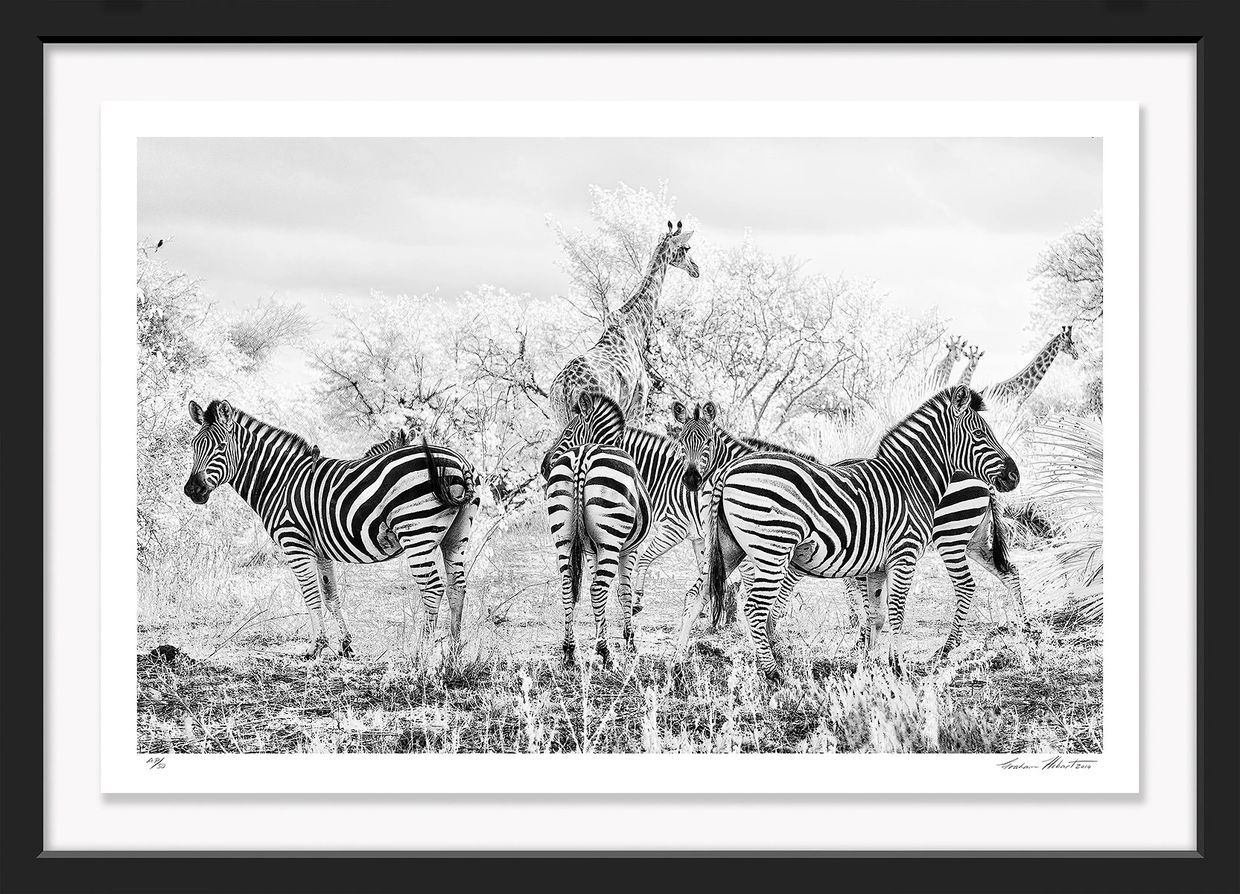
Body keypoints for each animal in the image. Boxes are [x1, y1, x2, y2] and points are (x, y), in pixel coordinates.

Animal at [183, 399, 479, 660]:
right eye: (194, 446)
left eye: (221, 447)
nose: (192, 490)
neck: (280, 481)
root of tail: (460, 462)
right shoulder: (322, 550)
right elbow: (330, 595)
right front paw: (346, 645)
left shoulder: (294, 543)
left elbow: (311, 596)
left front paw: (316, 647)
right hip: (455, 536)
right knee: (457, 586)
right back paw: (454, 652)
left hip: (416, 532)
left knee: (433, 588)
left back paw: (420, 655)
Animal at [544, 393, 652, 664]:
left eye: (567, 431)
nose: (543, 467)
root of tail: (582, 456)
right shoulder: (629, 549)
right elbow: (624, 591)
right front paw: (629, 642)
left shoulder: (592, 550)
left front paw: (597, 636)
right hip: (611, 539)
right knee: (598, 589)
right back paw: (606, 653)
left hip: (563, 535)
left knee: (567, 587)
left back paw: (569, 650)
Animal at [547, 220, 698, 430]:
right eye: (686, 248)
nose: (696, 269)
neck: (637, 328)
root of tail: (564, 388)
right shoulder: (639, 402)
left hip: (560, 420)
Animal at [676, 385, 1020, 680]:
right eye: (979, 434)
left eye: (705, 443)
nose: (1014, 476)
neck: (910, 481)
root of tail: (729, 472)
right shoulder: (903, 555)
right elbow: (895, 613)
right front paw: (897, 668)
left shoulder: (876, 565)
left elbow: (877, 615)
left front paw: (870, 665)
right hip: (773, 549)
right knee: (753, 607)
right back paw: (772, 672)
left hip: (730, 548)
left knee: (699, 594)